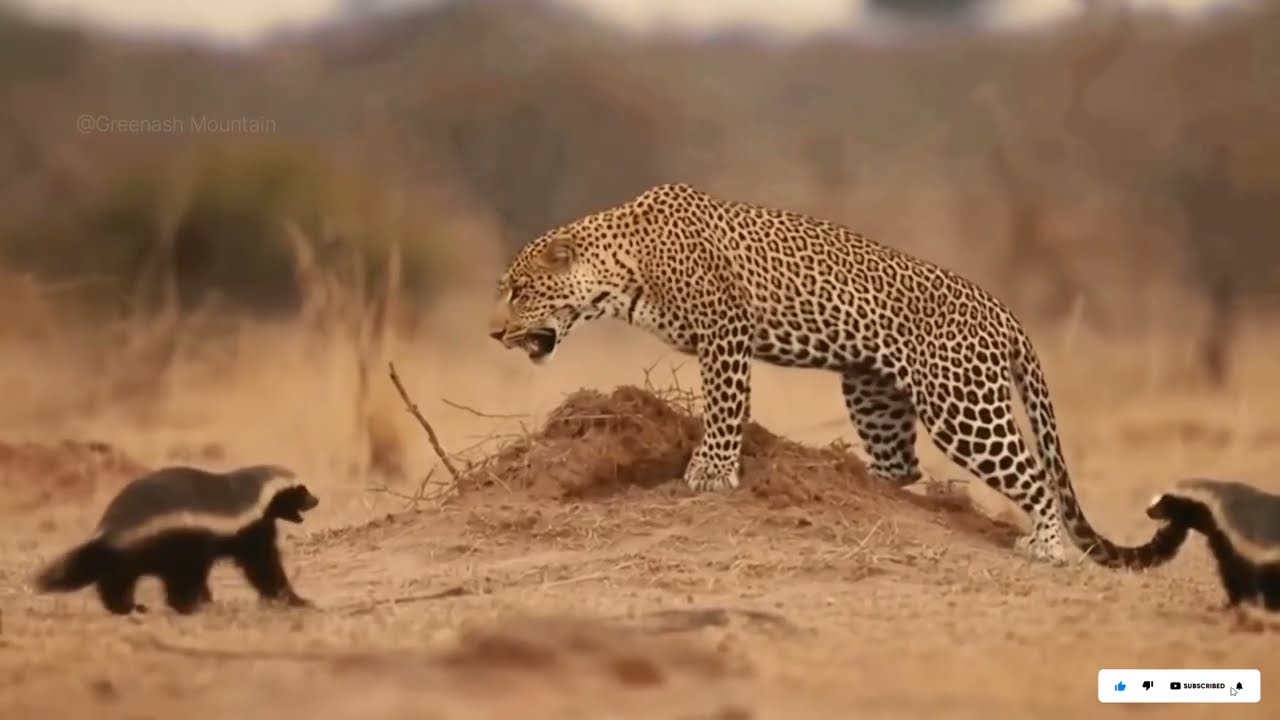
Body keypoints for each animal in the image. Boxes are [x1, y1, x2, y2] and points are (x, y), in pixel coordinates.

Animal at [487, 181, 1188, 569]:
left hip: (963, 406)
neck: (622, 269)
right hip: (871, 390)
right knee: (902, 467)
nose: (493, 334)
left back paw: (1045, 547)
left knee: (1034, 474)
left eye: (519, 292)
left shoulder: (726, 332)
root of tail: (1002, 310)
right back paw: (848, 476)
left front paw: (710, 473)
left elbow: (724, 408)